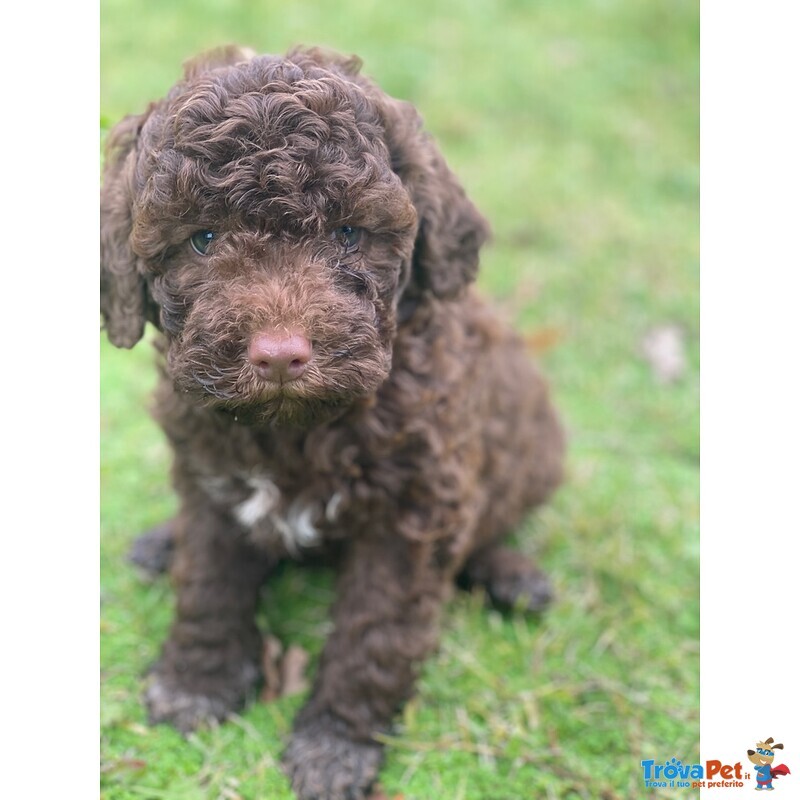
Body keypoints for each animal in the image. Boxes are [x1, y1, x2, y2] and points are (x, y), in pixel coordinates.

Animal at [100, 47, 564, 800]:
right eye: (202, 240)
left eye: (348, 232)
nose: (280, 354)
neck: (300, 429)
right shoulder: (209, 478)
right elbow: (208, 583)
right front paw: (196, 682)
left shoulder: (412, 513)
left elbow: (376, 633)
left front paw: (335, 743)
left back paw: (511, 575)